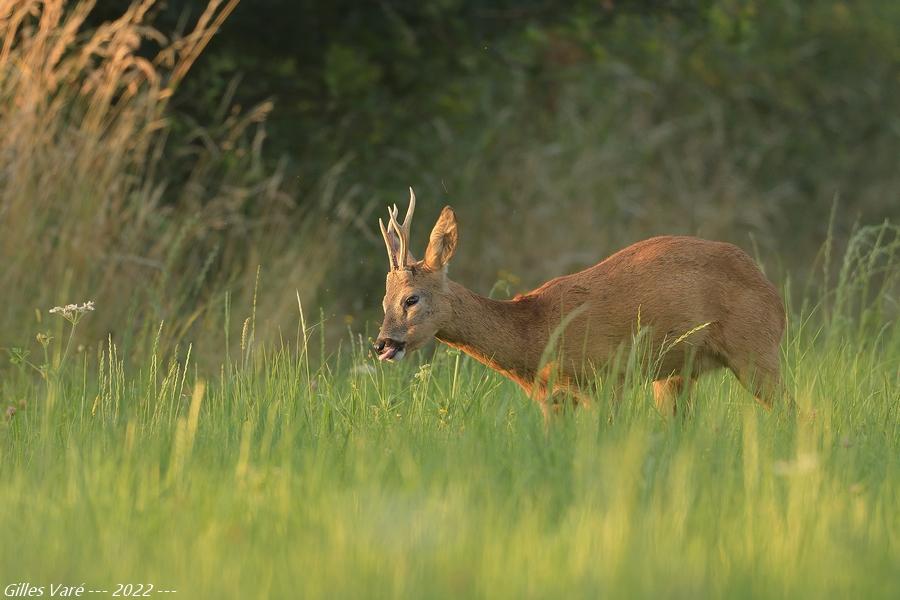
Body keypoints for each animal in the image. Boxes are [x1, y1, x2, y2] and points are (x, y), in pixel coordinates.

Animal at [370, 188, 780, 418]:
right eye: (383, 301)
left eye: (411, 298)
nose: (382, 343)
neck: (532, 335)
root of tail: (770, 288)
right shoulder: (550, 399)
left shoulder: (605, 377)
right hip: (676, 375)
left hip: (756, 349)